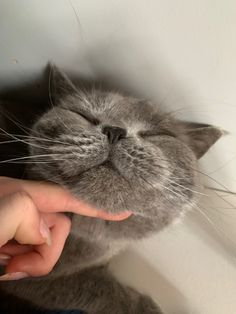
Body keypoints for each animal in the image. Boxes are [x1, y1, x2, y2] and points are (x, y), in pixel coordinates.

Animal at [0, 65, 223, 312]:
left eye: (159, 134)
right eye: (83, 115)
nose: (115, 130)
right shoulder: (34, 275)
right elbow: (95, 287)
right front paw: (146, 307)